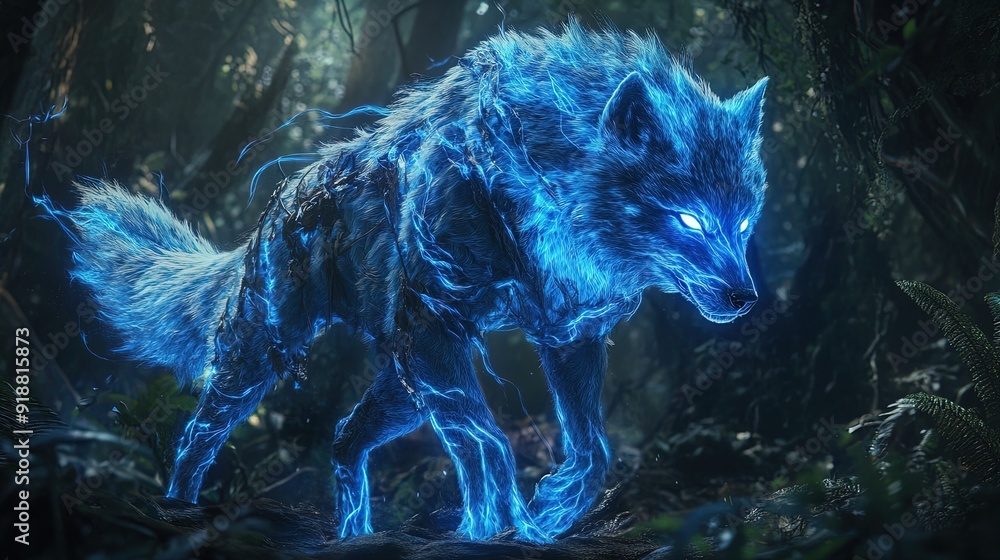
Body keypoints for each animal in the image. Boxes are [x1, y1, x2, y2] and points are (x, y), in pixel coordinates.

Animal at [49, 22, 767, 542]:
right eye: (689, 217)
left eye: (744, 218)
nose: (746, 298)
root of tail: (268, 213)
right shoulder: (435, 324)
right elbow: (491, 443)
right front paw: (497, 525)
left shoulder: (567, 339)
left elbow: (592, 451)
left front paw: (548, 513)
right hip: (268, 358)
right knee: (198, 432)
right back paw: (177, 509)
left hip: (399, 387)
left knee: (343, 438)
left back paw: (355, 533)